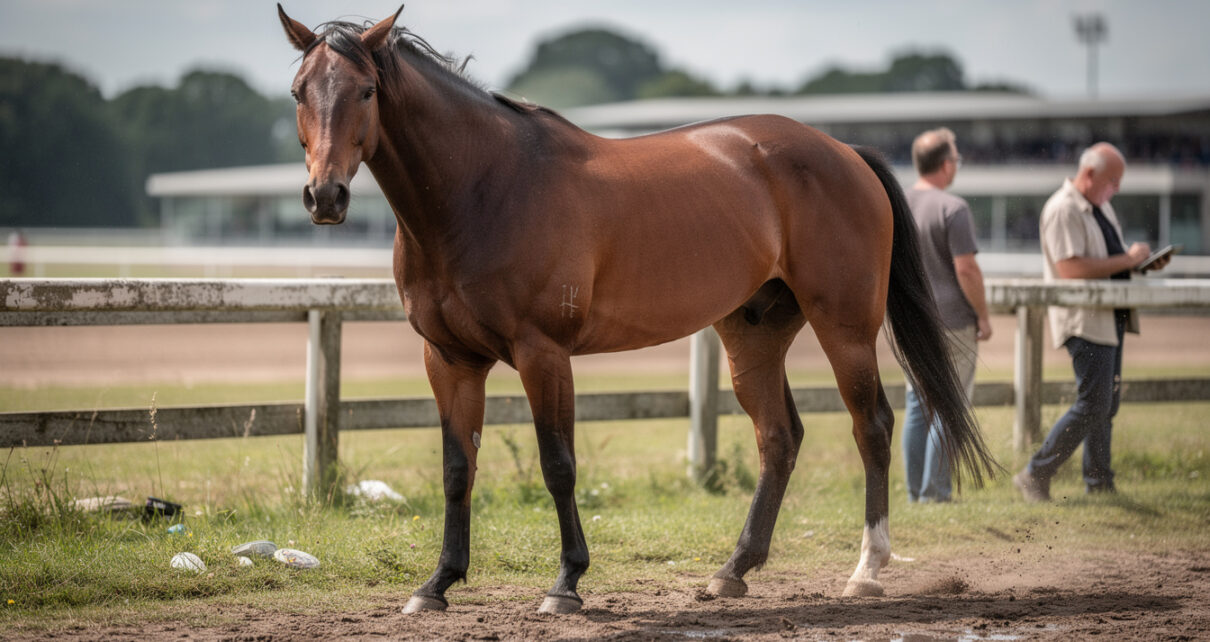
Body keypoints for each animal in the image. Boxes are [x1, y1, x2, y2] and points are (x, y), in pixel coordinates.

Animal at [278, 5, 998, 615]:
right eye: (298, 92)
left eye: (366, 91)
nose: (324, 196)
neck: (484, 188)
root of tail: (846, 152)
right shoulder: (449, 359)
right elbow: (458, 469)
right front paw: (437, 584)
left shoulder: (543, 355)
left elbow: (558, 465)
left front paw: (566, 583)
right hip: (752, 335)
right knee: (779, 438)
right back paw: (733, 570)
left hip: (844, 327)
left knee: (871, 427)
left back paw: (866, 571)